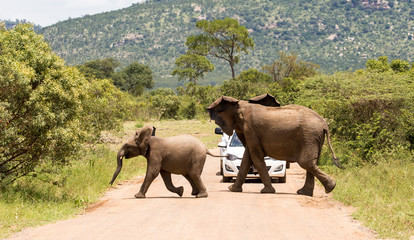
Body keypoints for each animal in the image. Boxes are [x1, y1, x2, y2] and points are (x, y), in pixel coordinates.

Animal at [207, 93, 342, 196]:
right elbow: (248, 157)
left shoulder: (250, 129)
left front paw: (267, 191)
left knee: (306, 162)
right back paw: (306, 192)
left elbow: (255, 156)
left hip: (309, 136)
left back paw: (330, 187)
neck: (240, 105)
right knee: (312, 163)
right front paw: (232, 189)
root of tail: (324, 124)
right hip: (315, 138)